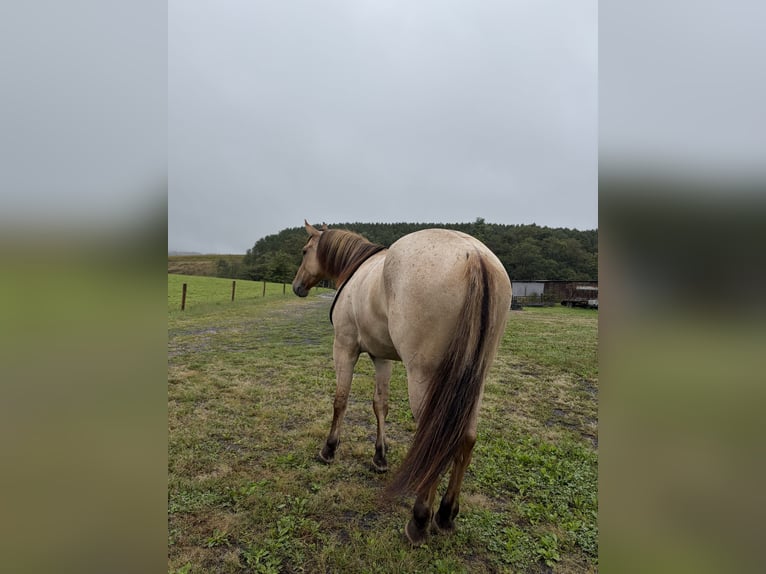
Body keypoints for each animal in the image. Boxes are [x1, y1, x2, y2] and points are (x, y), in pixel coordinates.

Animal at [291, 220, 512, 545]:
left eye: (305, 250)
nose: (297, 286)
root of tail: (475, 256)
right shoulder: (381, 358)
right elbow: (380, 405)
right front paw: (380, 457)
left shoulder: (344, 348)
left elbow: (340, 400)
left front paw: (329, 450)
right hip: (474, 380)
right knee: (466, 438)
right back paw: (446, 515)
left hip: (425, 379)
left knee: (434, 438)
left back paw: (419, 520)